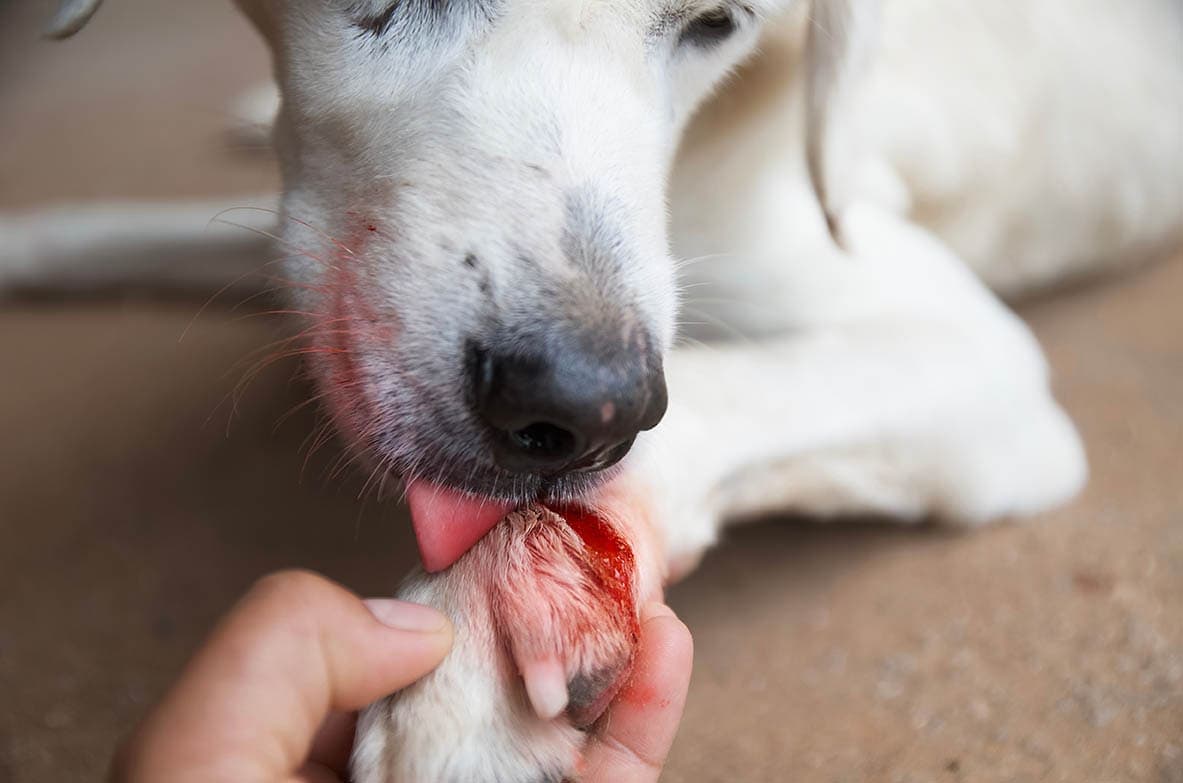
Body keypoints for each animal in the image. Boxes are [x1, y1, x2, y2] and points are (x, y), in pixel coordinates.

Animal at [11, 0, 1183, 780]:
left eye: (717, 20)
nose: (580, 410)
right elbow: (129, 233)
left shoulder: (974, 356)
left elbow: (711, 392)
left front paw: (490, 629)